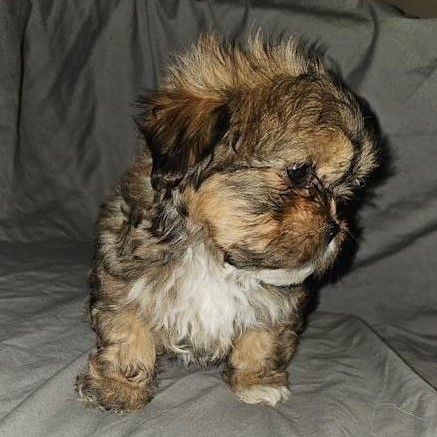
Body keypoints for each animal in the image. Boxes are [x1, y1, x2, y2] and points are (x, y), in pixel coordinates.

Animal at [76, 34, 377, 412]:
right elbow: (127, 331)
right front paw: (118, 388)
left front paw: (256, 382)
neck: (212, 256)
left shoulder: (274, 307)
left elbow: (261, 339)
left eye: (345, 190)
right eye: (299, 172)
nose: (334, 228)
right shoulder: (125, 279)